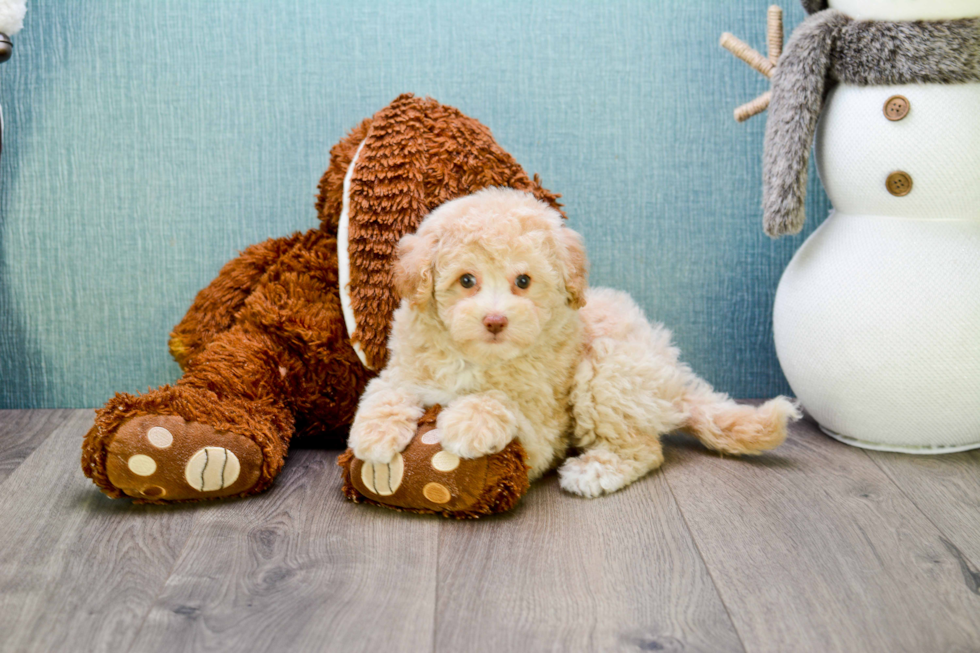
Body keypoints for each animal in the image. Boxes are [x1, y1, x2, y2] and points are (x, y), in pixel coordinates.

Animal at [348, 187, 800, 494]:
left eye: (523, 281)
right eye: (466, 280)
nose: (495, 320)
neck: (480, 358)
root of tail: (675, 381)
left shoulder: (543, 431)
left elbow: (501, 400)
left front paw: (468, 421)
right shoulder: (407, 365)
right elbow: (385, 389)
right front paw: (374, 436)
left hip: (608, 374)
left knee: (645, 449)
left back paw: (594, 471)